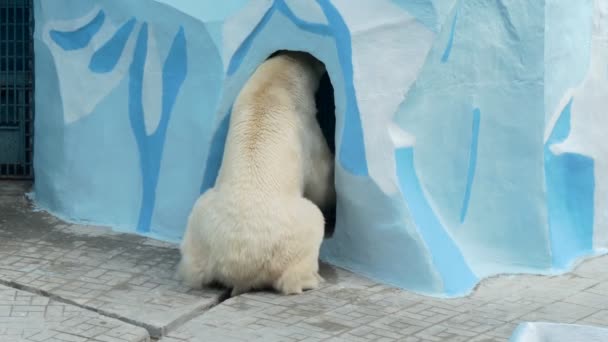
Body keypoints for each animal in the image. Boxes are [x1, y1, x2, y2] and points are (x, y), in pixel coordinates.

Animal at [176, 50, 338, 296]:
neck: (273, 87)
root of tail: (240, 267)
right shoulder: (306, 127)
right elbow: (322, 177)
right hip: (291, 233)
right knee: (312, 224)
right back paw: (311, 279)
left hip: (201, 225)